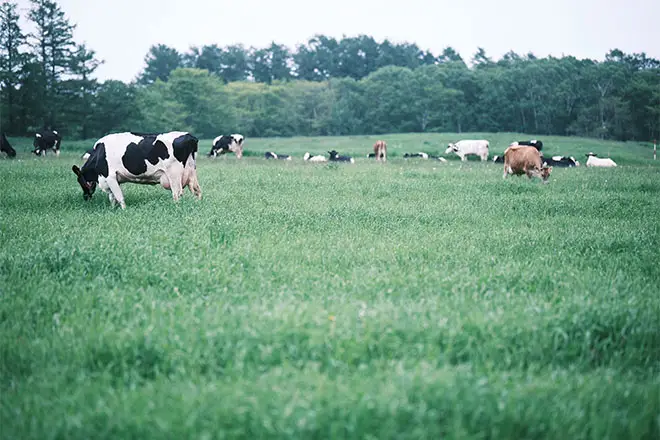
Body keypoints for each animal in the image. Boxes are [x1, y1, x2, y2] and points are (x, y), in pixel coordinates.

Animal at [71, 131, 201, 210]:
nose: (85, 197)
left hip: (174, 174)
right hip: (191, 172)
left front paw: (124, 210)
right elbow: (112, 197)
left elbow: (119, 196)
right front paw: (112, 209)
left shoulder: (110, 176)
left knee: (177, 193)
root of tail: (190, 136)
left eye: (80, 180)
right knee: (197, 191)